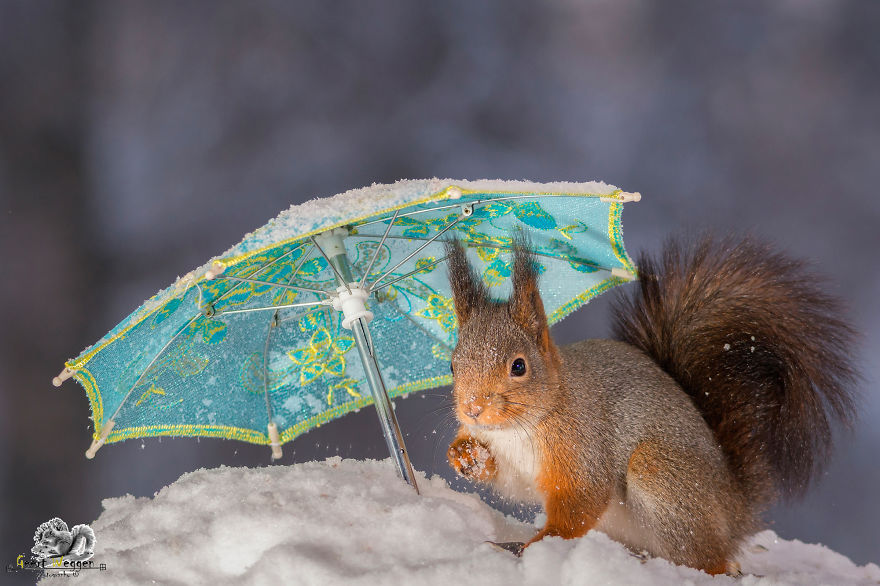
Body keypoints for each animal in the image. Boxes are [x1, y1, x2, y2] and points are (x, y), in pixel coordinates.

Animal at [445, 235, 857, 575]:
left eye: (519, 366)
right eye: (451, 364)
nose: (472, 409)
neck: (517, 429)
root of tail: (735, 508)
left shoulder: (582, 445)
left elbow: (582, 499)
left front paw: (540, 543)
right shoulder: (514, 462)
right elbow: (512, 484)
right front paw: (465, 455)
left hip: (661, 474)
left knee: (706, 559)